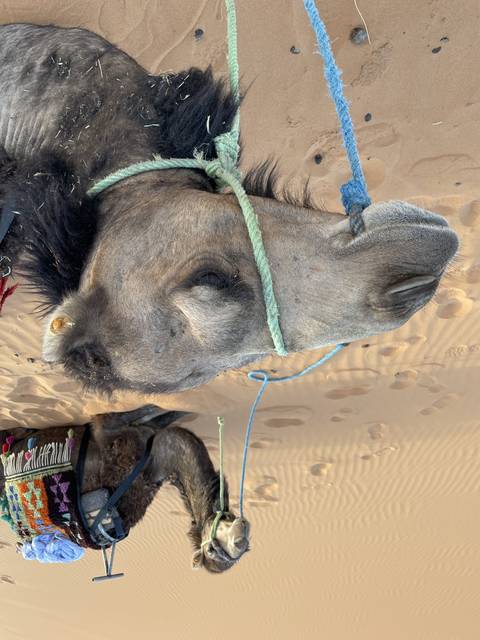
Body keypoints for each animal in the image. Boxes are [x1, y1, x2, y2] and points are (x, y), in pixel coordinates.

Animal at [0, 407, 250, 573]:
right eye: (213, 550)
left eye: (241, 554)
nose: (241, 540)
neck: (149, 467)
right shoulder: (109, 426)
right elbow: (155, 410)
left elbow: (161, 415)